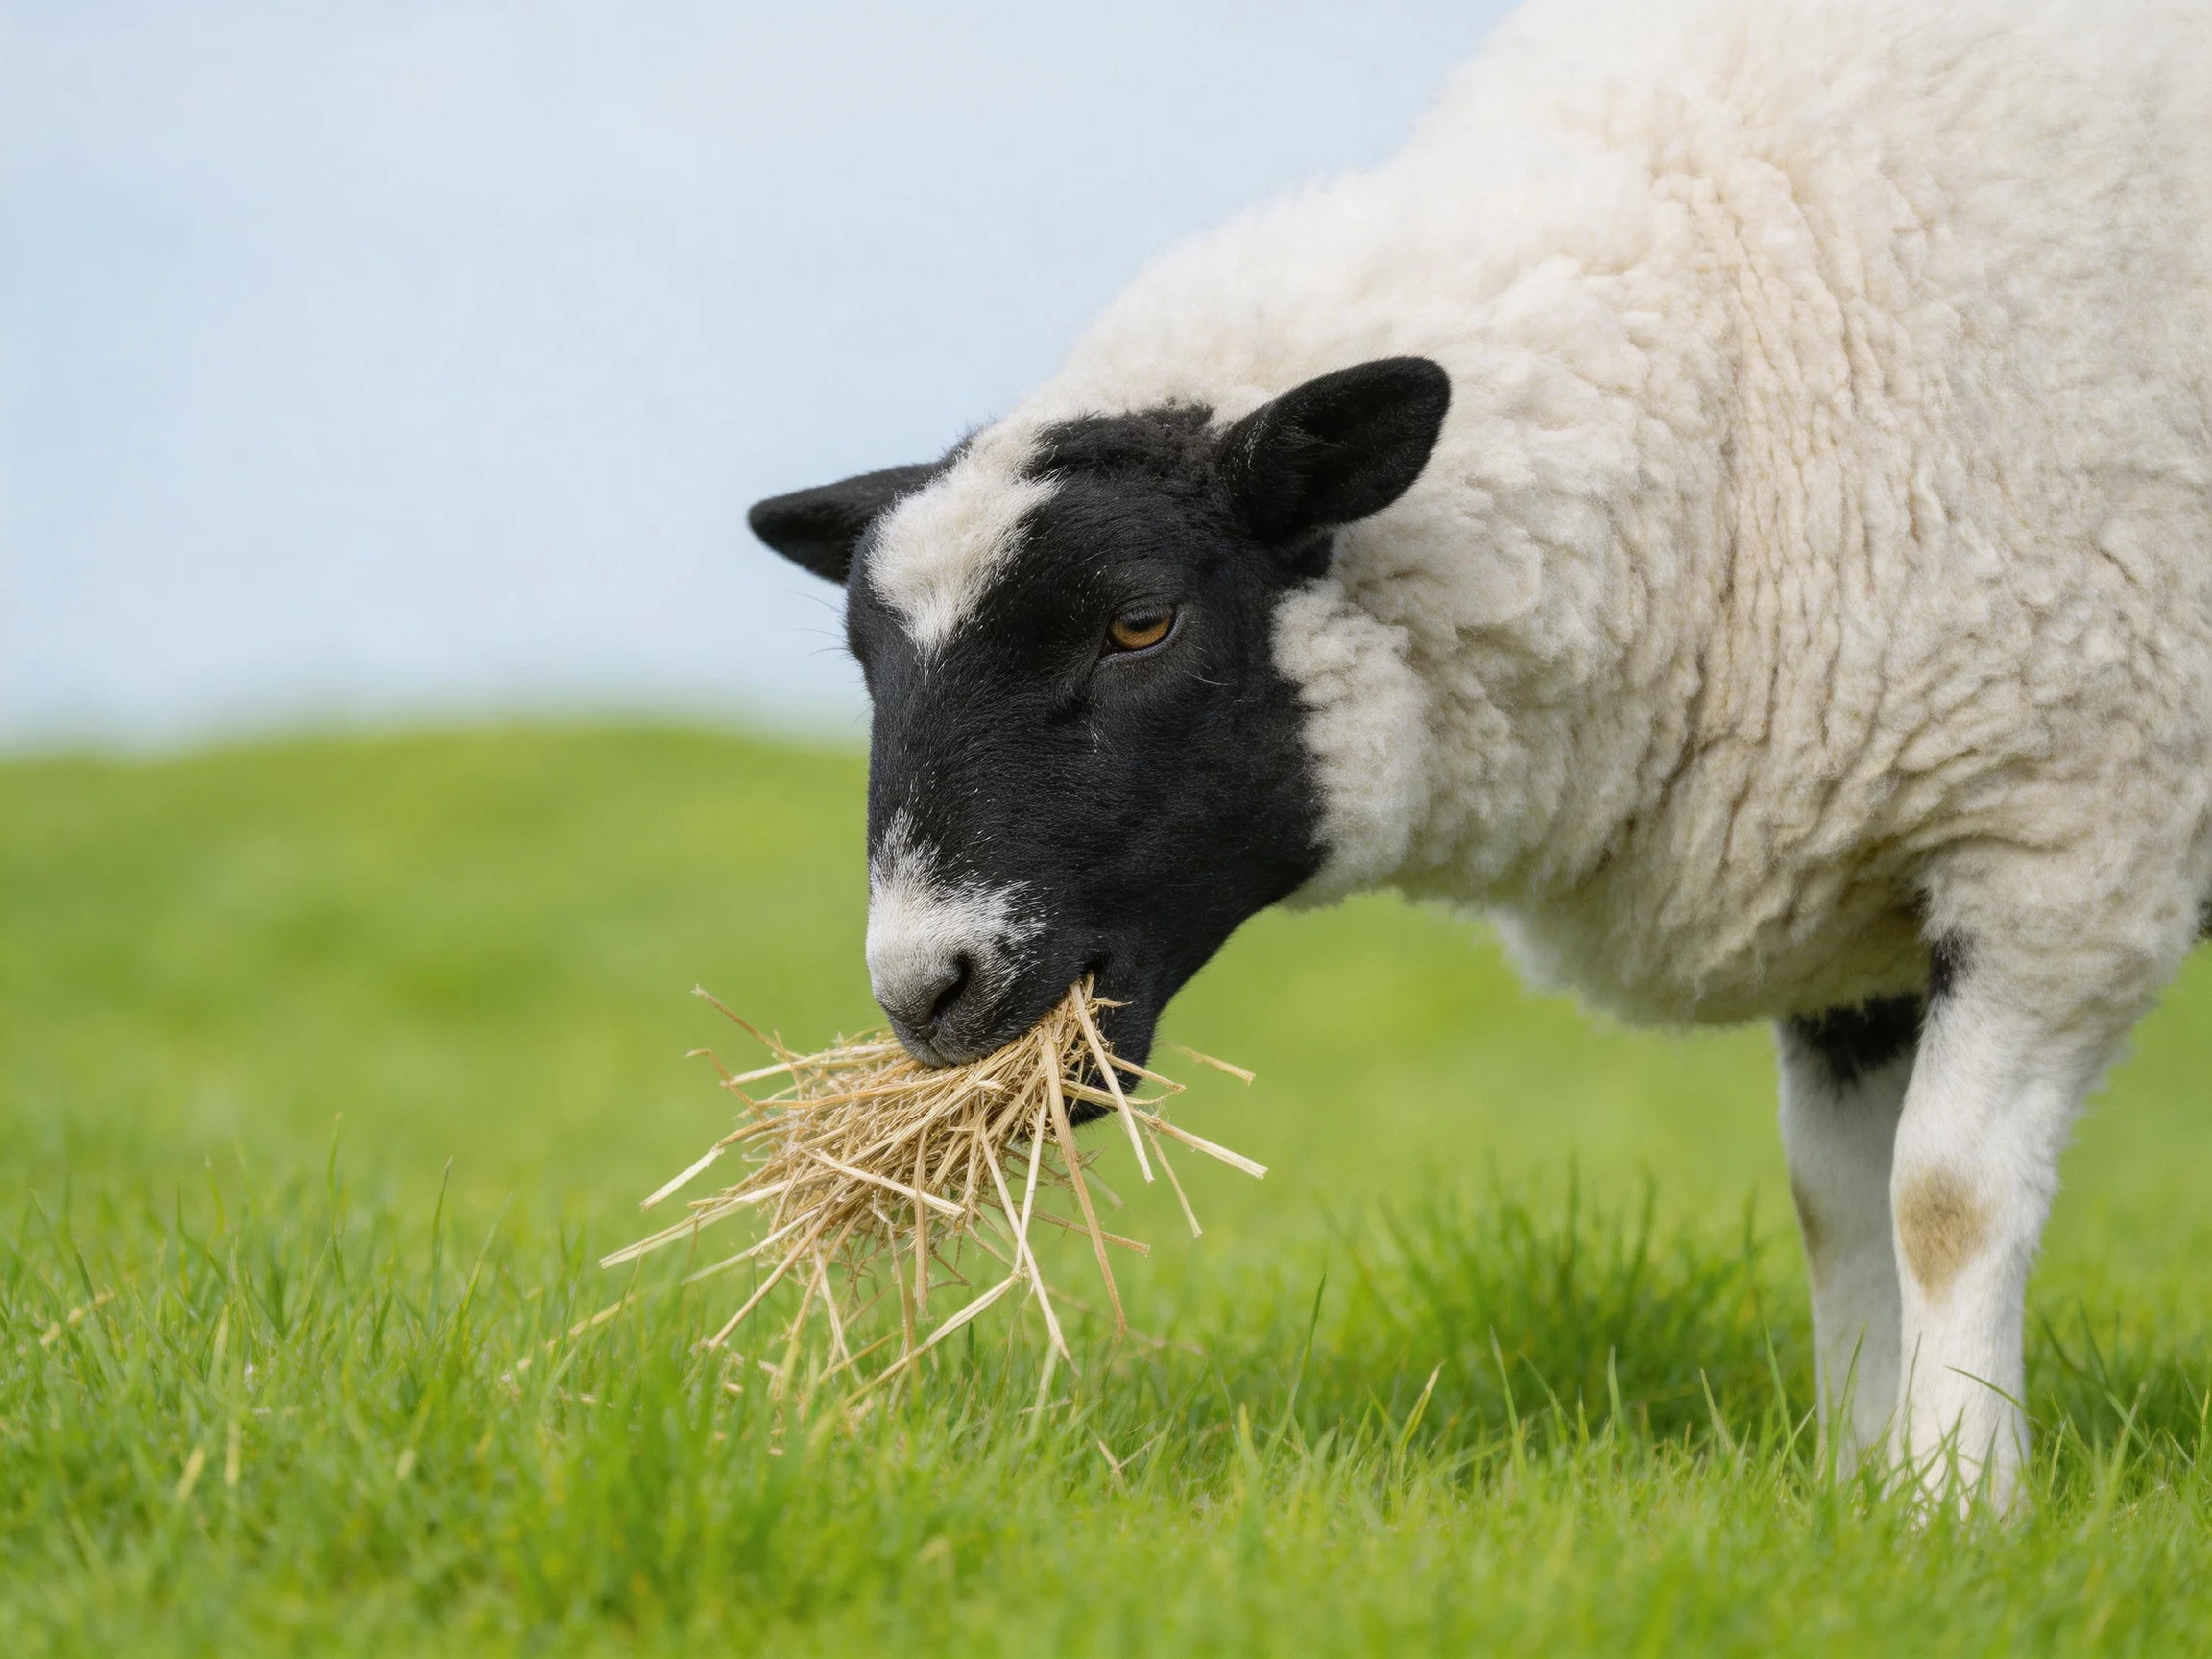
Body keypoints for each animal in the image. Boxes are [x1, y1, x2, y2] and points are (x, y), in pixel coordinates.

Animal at [747, 0, 2212, 1507]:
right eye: (865, 659)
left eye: (1139, 622)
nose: (925, 991)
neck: (1753, 346)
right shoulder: (1855, 902)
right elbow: (1836, 1206)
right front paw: (1860, 1492)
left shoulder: (2065, 847)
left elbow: (1942, 1199)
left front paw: (1958, 1508)